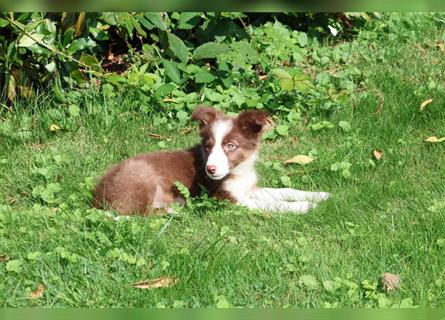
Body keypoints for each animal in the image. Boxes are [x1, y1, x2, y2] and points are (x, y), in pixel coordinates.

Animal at [93, 107, 330, 215]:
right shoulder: (224, 198)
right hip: (144, 179)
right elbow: (270, 203)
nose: (211, 169)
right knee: (139, 213)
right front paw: (304, 206)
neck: (237, 171)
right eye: (208, 146)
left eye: (230, 146)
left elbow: (283, 190)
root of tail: (97, 198)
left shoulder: (247, 188)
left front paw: (319, 195)